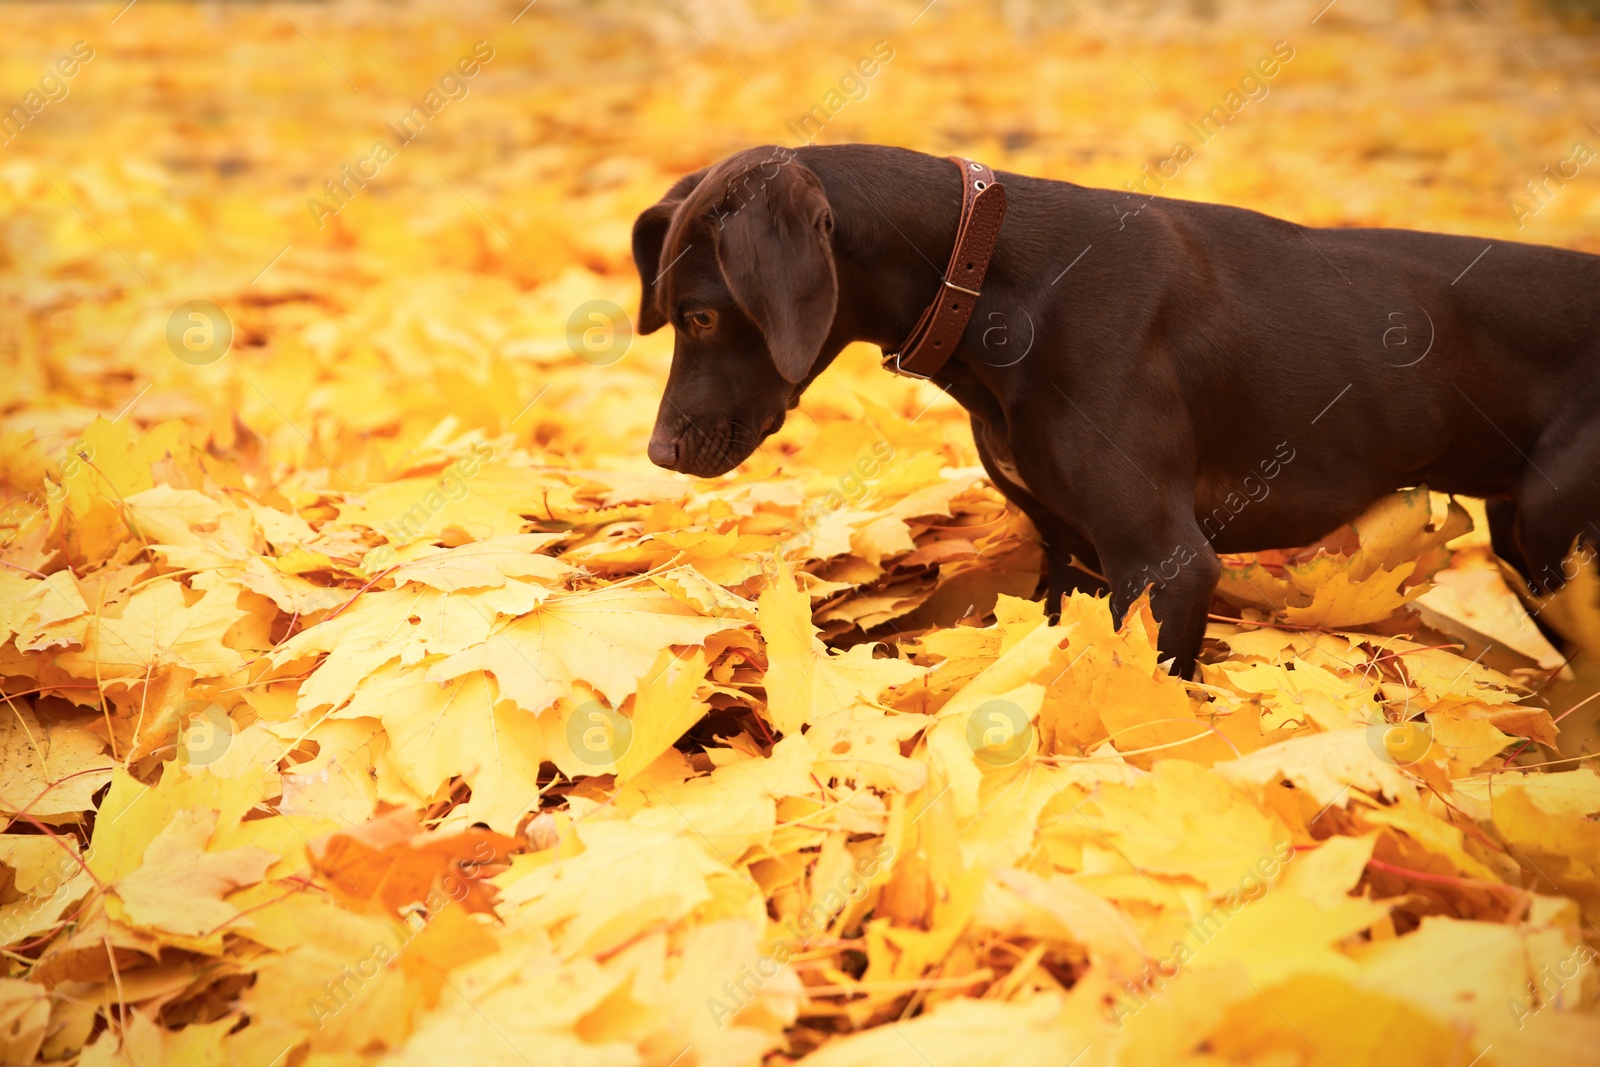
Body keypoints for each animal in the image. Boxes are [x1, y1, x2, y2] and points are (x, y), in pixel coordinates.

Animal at [633, 143, 1600, 675]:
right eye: (671, 311)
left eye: (704, 315)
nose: (659, 454)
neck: (989, 281)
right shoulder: (1071, 555)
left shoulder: (1165, 566)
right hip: (1527, 545)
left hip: (1558, 538)